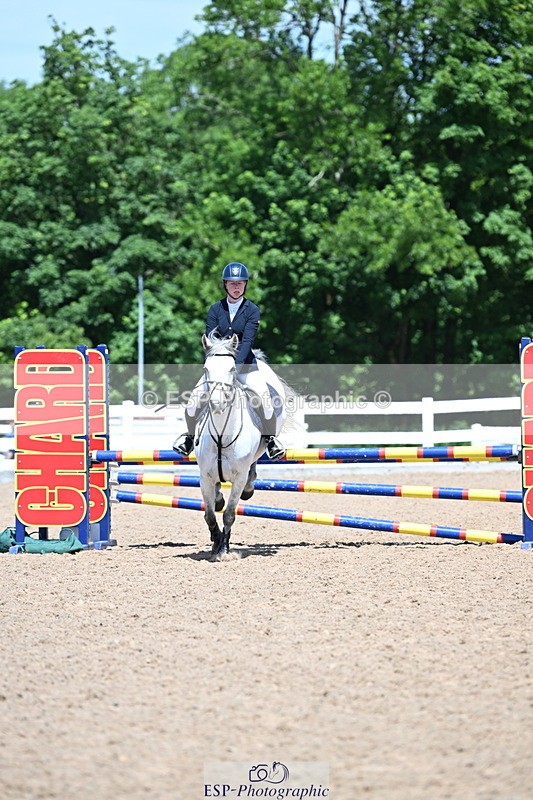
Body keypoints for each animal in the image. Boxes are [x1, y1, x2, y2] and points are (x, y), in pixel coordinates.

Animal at [193, 331, 294, 559]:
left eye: (231, 369)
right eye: (205, 369)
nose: (217, 404)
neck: (221, 436)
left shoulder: (238, 476)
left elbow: (229, 514)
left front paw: (223, 549)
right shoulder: (205, 476)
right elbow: (210, 514)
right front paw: (216, 542)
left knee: (253, 468)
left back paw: (248, 488)